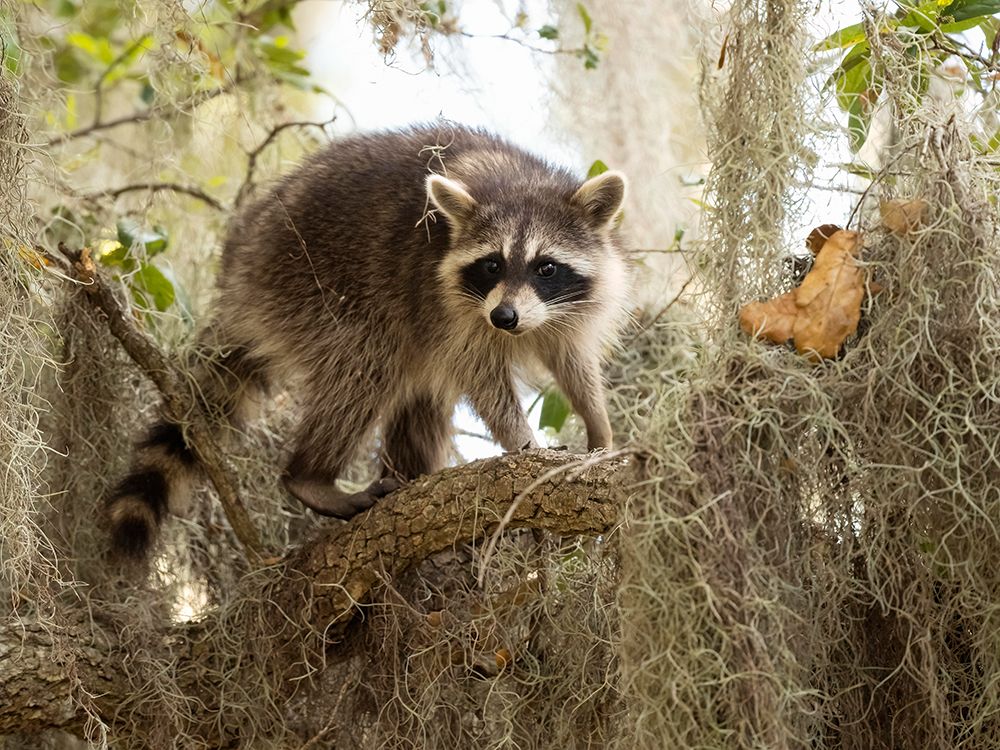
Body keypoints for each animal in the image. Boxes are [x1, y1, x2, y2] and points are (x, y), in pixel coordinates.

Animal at [107, 123, 629, 559]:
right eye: (491, 265)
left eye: (546, 267)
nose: (504, 317)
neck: (518, 181)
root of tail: (237, 273)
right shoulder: (444, 300)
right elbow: (479, 377)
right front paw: (524, 443)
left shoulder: (563, 309)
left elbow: (571, 358)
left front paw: (597, 422)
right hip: (306, 283)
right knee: (364, 368)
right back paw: (309, 475)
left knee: (421, 397)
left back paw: (410, 483)